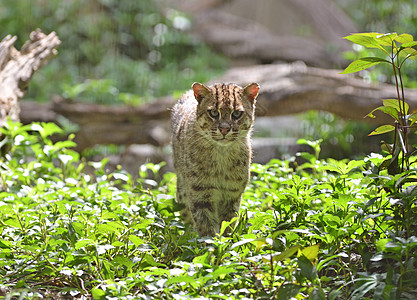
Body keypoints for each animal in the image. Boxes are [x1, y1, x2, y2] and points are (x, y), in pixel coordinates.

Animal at [171, 82, 258, 237]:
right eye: (213, 112)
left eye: (237, 113)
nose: (224, 129)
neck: (221, 154)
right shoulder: (199, 193)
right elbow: (205, 225)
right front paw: (211, 242)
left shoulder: (232, 194)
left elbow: (227, 223)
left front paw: (227, 240)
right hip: (182, 191)